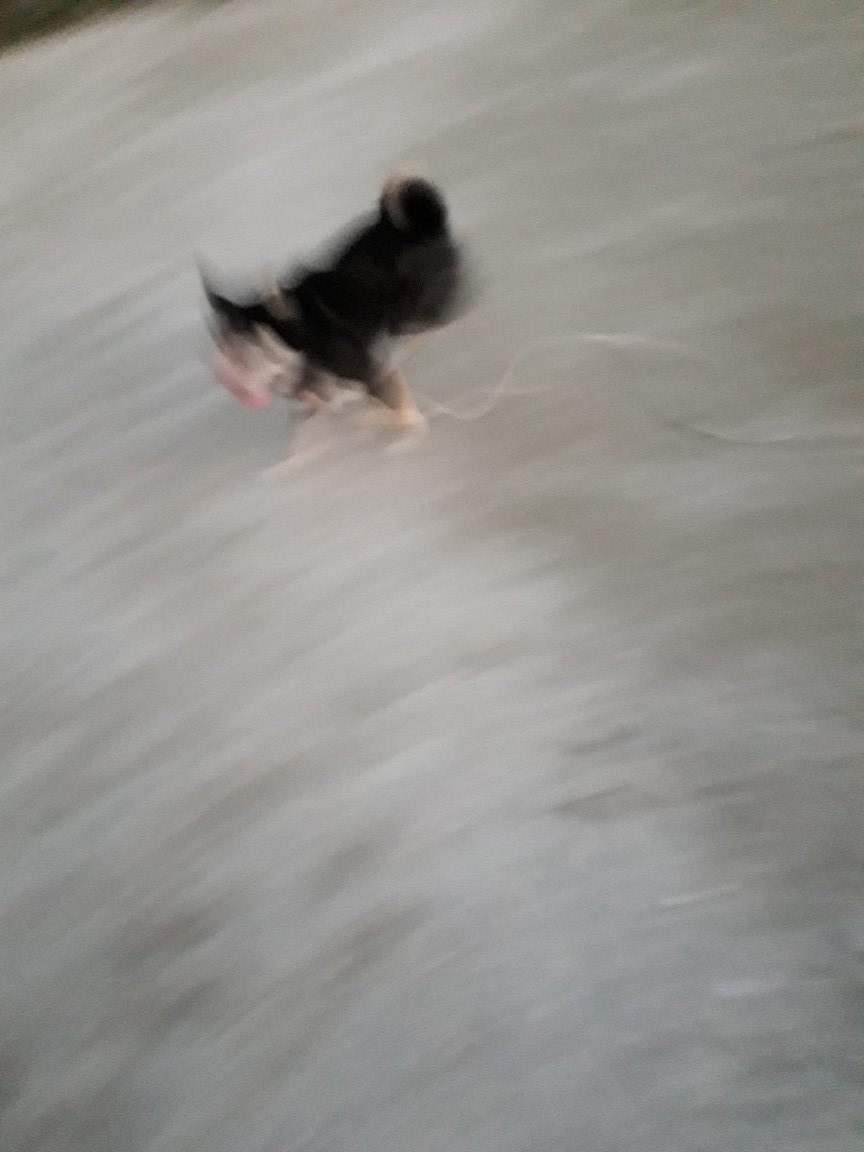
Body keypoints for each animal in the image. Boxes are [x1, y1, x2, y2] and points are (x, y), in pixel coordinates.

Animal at [201, 175, 471, 434]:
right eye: (222, 345)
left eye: (242, 352)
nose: (222, 375)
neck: (290, 335)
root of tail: (426, 224)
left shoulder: (362, 369)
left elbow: (393, 401)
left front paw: (408, 425)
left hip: (412, 307)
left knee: (431, 322)